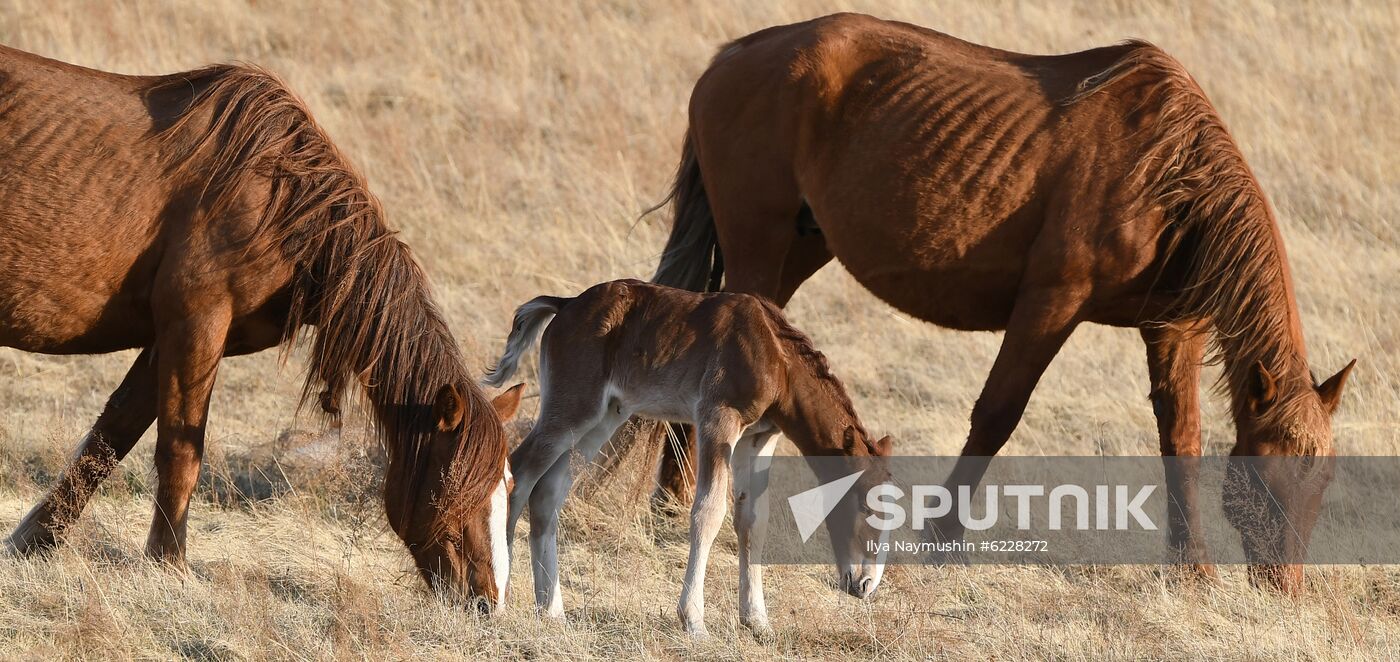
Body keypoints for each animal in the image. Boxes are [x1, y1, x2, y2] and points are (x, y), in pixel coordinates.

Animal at [0, 43, 523, 607]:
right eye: (456, 485)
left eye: (508, 486)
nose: (486, 601)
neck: (278, 198)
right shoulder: (196, 326)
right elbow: (180, 453)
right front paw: (169, 566)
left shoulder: (169, 341)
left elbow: (110, 438)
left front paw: (32, 542)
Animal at [487, 279, 890, 641]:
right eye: (867, 507)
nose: (866, 585)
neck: (777, 358)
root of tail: (567, 304)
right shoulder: (717, 420)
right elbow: (708, 513)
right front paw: (694, 623)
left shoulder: (759, 437)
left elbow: (753, 520)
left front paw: (757, 622)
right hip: (573, 409)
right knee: (520, 474)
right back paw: (502, 593)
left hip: (604, 418)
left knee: (548, 493)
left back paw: (552, 610)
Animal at [652, 12, 1355, 587]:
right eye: (1267, 476)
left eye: (1324, 480)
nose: (1285, 585)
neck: (1167, 175)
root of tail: (733, 55)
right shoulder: (1051, 304)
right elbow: (997, 416)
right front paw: (941, 539)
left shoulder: (1171, 330)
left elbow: (1180, 438)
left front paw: (1193, 570)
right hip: (759, 249)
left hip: (798, 250)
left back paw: (668, 502)